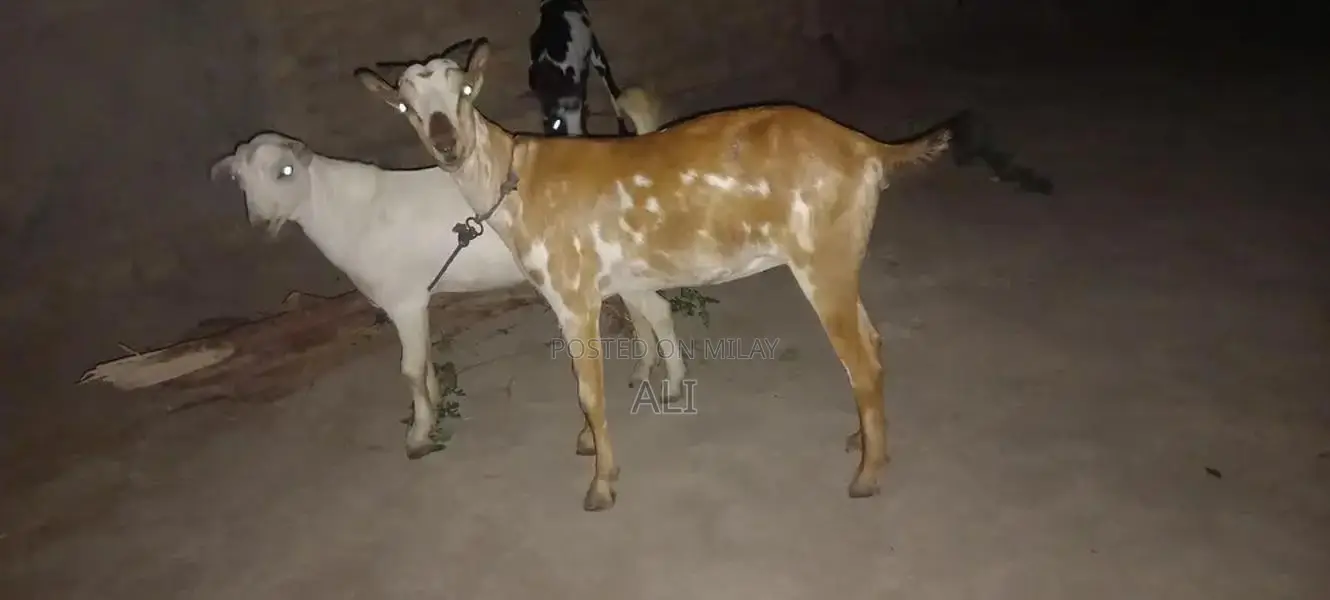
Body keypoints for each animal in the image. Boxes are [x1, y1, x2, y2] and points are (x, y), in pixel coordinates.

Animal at [208, 131, 686, 460]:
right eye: (240, 180)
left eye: (285, 171)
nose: (261, 223)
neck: (346, 213)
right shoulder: (417, 299)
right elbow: (423, 364)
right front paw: (434, 404)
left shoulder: (403, 299)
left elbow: (408, 367)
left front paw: (418, 435)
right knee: (644, 312)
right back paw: (643, 370)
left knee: (659, 310)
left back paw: (673, 386)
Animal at [356, 38, 1052, 511]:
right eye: (407, 105)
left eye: (464, 93)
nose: (448, 144)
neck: (515, 178)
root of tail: (867, 147)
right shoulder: (611, 282)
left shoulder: (572, 291)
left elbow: (589, 389)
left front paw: (601, 486)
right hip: (840, 257)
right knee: (873, 345)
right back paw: (862, 443)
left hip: (821, 258)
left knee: (860, 358)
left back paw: (868, 476)